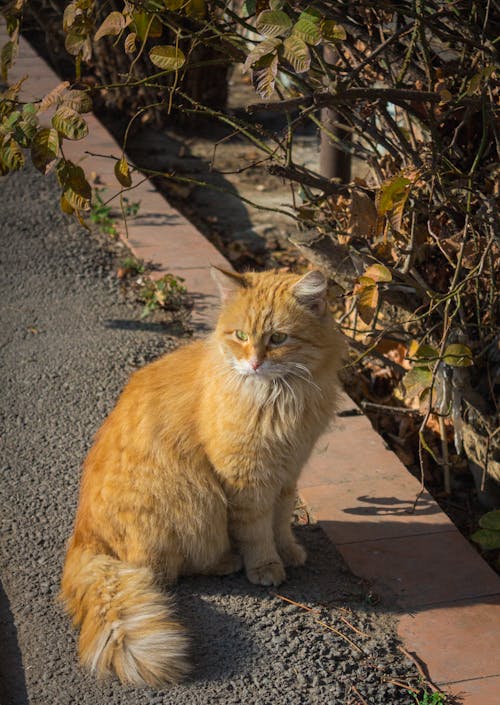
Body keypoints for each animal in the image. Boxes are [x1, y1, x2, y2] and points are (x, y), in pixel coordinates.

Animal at [60, 266, 344, 688]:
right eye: (240, 336)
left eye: (278, 339)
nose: (254, 364)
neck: (280, 398)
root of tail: (83, 535)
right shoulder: (246, 480)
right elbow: (258, 533)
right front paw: (266, 566)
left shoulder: (287, 474)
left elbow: (281, 522)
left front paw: (290, 552)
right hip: (195, 503)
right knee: (169, 570)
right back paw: (228, 561)